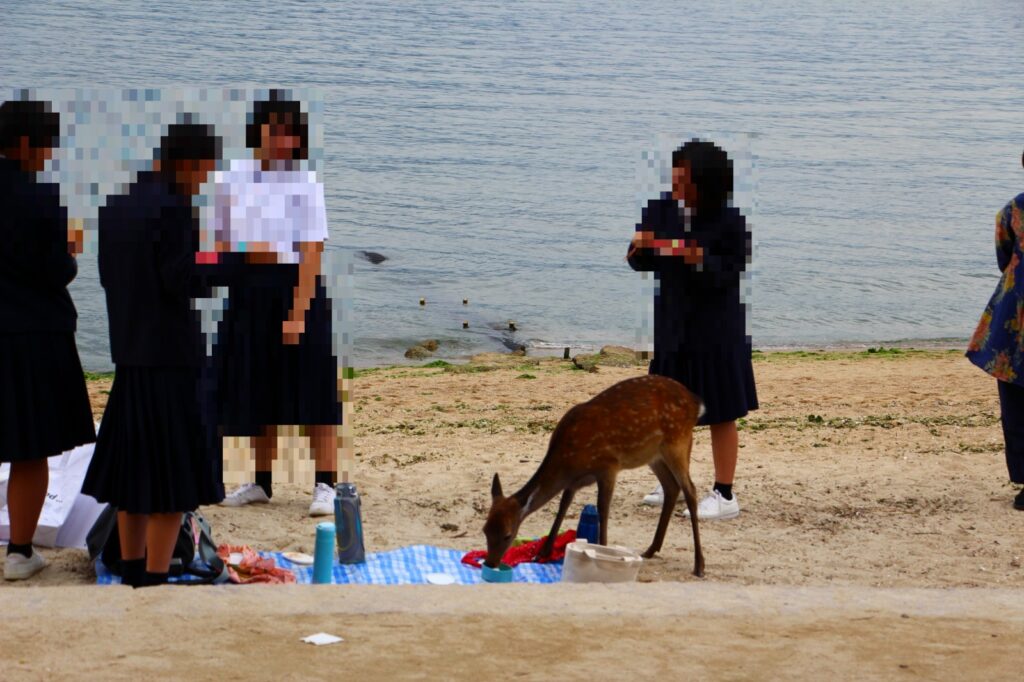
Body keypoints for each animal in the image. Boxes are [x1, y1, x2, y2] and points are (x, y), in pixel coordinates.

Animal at [479, 372, 704, 573]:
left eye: (508, 535)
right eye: (485, 530)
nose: (490, 563)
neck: (569, 459)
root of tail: (696, 402)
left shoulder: (608, 466)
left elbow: (602, 509)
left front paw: (603, 549)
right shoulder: (574, 481)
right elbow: (563, 506)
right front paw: (543, 552)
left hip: (678, 441)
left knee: (690, 490)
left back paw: (699, 565)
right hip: (654, 455)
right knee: (671, 487)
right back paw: (650, 550)